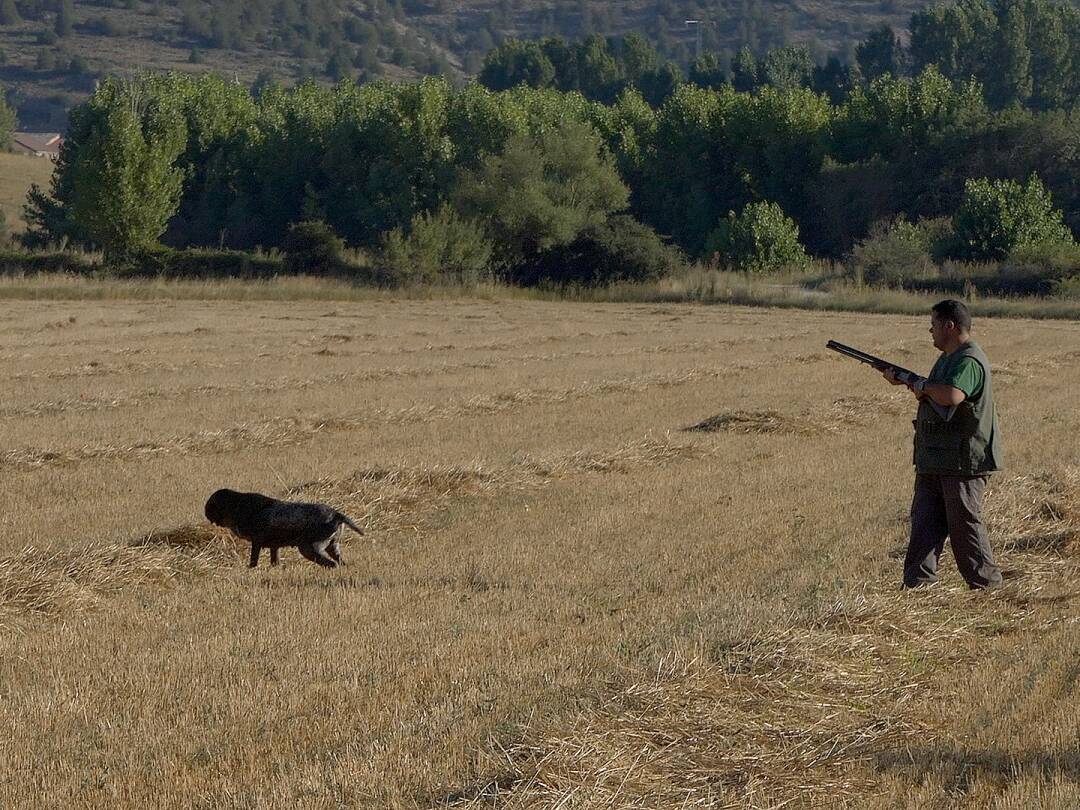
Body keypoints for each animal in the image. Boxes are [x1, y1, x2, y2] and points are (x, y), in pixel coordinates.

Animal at [204, 488, 365, 570]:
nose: (205, 513)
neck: (238, 506)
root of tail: (335, 513)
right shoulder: (274, 547)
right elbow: (275, 561)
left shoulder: (257, 542)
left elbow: (253, 560)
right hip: (332, 547)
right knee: (340, 563)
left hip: (309, 548)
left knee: (332, 564)